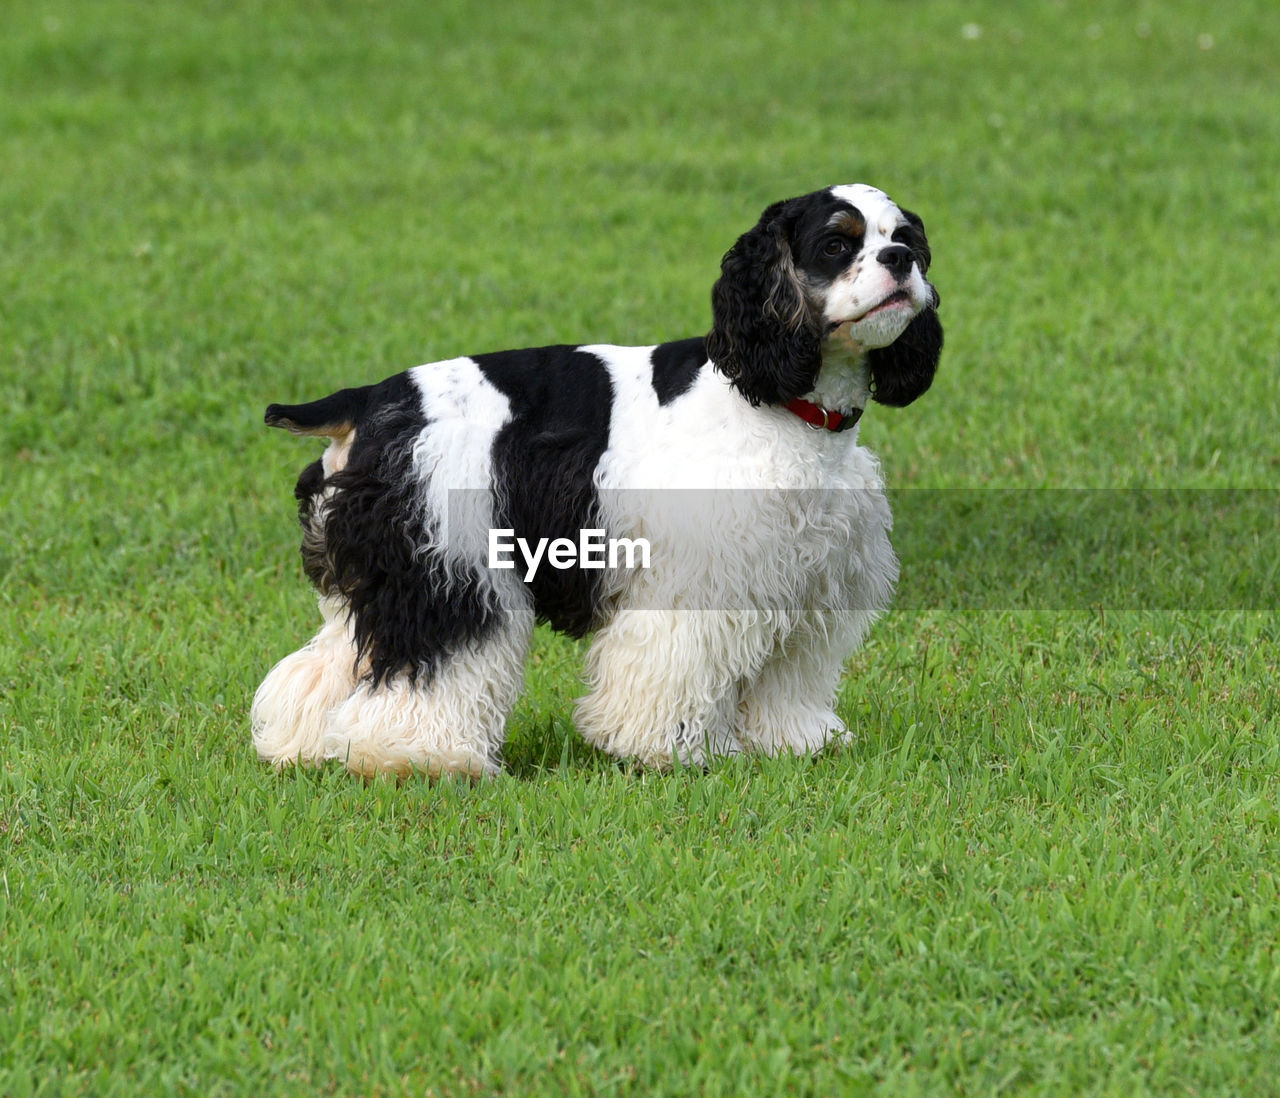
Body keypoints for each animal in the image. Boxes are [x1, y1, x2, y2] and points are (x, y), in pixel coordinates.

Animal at [252, 184, 942, 772]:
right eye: (837, 244)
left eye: (906, 235)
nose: (901, 259)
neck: (779, 403)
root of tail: (370, 398)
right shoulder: (696, 580)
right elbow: (674, 668)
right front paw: (669, 750)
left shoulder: (807, 580)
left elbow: (785, 679)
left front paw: (798, 742)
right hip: (449, 569)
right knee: (426, 664)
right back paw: (417, 757)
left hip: (376, 573)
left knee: (325, 663)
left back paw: (302, 747)